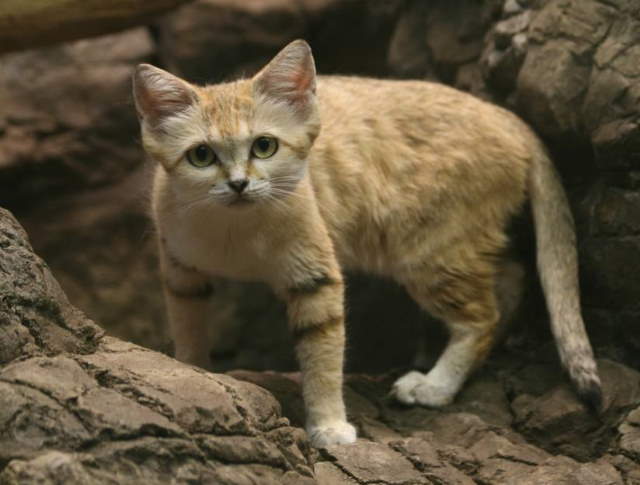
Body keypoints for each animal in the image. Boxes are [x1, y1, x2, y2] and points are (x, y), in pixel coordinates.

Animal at [132, 39, 604, 448]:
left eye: (264, 146)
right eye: (201, 156)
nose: (238, 184)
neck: (236, 228)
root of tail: (504, 115)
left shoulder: (316, 277)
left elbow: (323, 358)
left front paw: (329, 425)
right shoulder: (180, 270)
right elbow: (188, 327)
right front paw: (193, 371)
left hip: (432, 252)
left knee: (482, 315)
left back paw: (435, 385)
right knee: (511, 279)